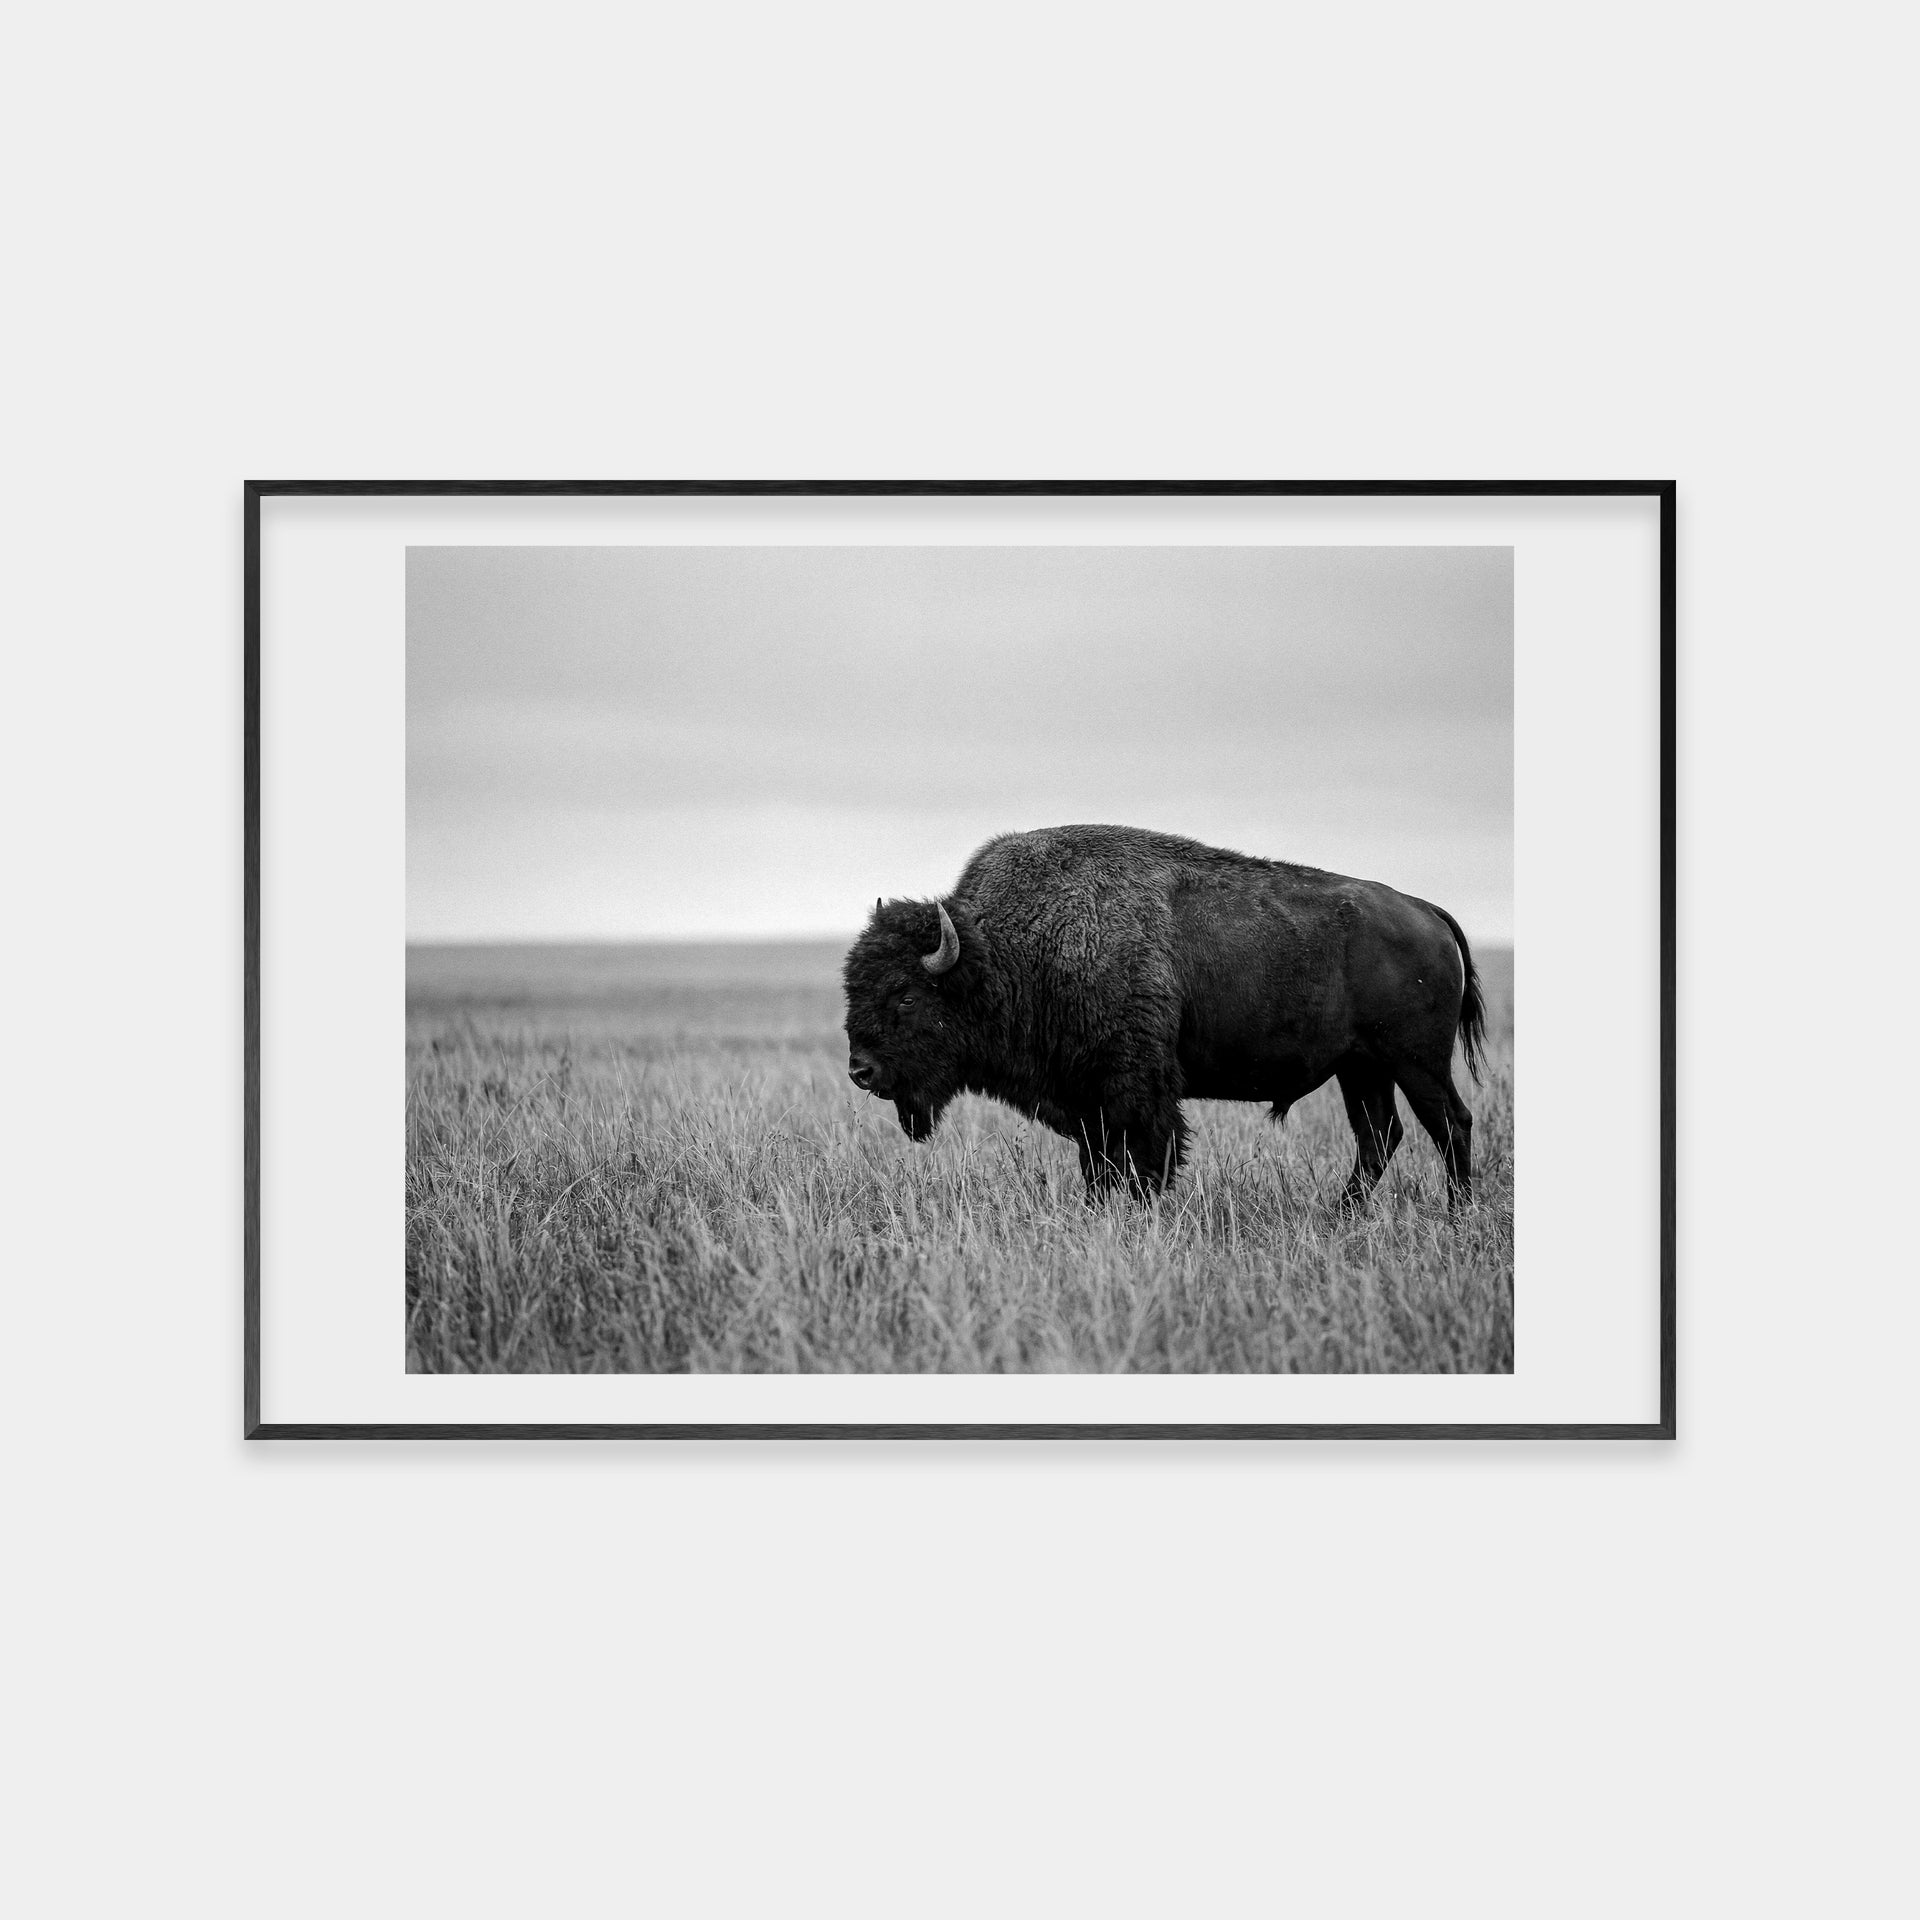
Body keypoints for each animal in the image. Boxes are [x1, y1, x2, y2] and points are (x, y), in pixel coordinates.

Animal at [842, 824, 1487, 1208]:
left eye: (905, 996)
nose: (861, 1071)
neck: (1010, 952)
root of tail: (1425, 911)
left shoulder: (1136, 1093)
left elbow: (1146, 1162)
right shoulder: (1089, 1103)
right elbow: (1099, 1168)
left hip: (1418, 1064)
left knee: (1450, 1125)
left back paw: (1456, 1213)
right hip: (1362, 1069)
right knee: (1379, 1135)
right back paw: (1342, 1215)